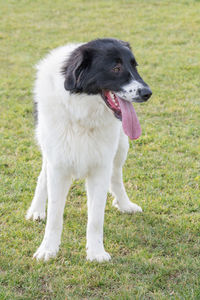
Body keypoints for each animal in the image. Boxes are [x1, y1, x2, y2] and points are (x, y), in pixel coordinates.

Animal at [26, 38, 152, 262]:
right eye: (116, 68)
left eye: (135, 66)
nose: (147, 93)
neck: (83, 115)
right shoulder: (58, 165)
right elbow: (55, 216)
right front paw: (48, 249)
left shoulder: (100, 167)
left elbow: (95, 218)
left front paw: (96, 253)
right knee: (43, 174)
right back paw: (36, 209)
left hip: (121, 147)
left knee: (116, 177)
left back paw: (124, 204)